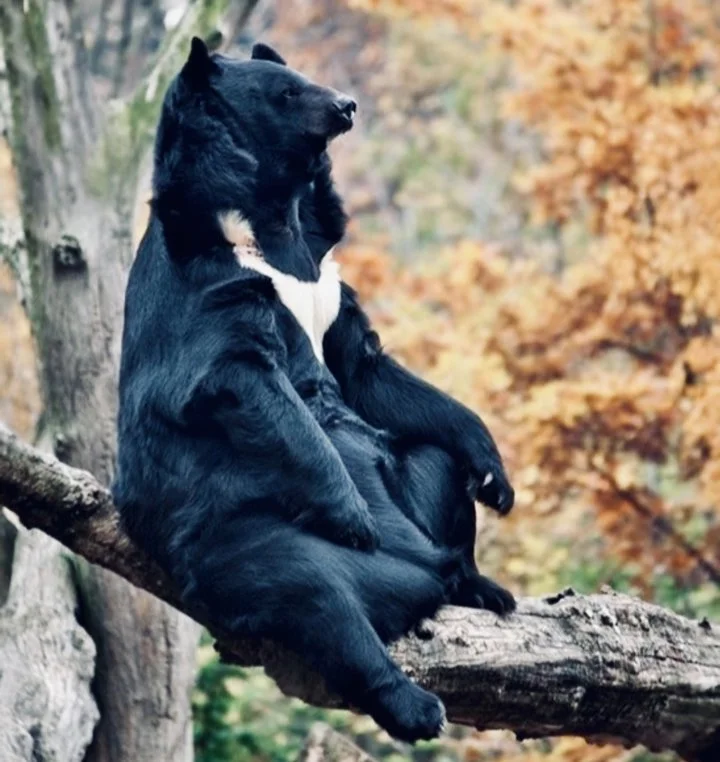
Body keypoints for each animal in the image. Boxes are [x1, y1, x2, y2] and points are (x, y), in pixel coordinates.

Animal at [113, 38, 515, 743]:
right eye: (288, 91)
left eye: (306, 78)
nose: (347, 104)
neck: (276, 221)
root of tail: (421, 580)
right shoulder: (212, 283)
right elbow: (244, 378)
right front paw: (354, 517)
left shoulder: (328, 286)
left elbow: (369, 365)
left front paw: (496, 477)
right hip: (229, 535)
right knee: (314, 592)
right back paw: (417, 705)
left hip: (409, 495)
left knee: (438, 467)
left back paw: (479, 584)